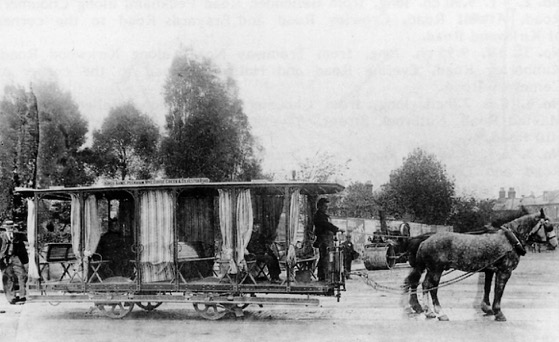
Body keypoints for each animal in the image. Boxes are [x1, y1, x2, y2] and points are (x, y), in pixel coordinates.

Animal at [402, 207, 552, 322]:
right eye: (548, 226)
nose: (554, 244)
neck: (510, 239)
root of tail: (424, 241)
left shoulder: (490, 270)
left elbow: (488, 288)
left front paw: (488, 309)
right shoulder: (504, 271)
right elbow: (499, 290)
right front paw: (498, 313)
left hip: (431, 269)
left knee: (424, 285)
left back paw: (429, 312)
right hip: (436, 270)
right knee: (432, 287)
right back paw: (440, 313)